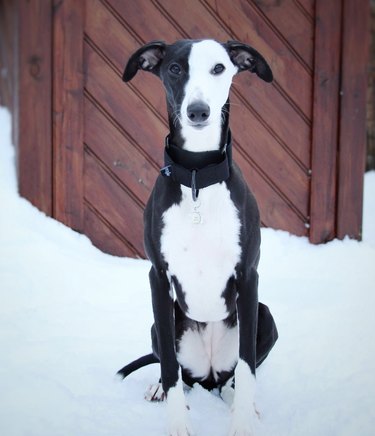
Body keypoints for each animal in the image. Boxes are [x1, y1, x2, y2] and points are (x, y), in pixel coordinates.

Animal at [117, 39, 280, 434]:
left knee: (232, 378)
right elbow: (170, 369)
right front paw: (176, 422)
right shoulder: (158, 277)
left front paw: (242, 423)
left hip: (265, 315)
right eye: (175, 68)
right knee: (179, 372)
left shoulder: (248, 276)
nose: (198, 111)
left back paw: (237, 400)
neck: (196, 177)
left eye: (219, 68)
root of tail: (208, 374)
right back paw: (160, 388)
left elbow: (248, 369)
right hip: (162, 325)